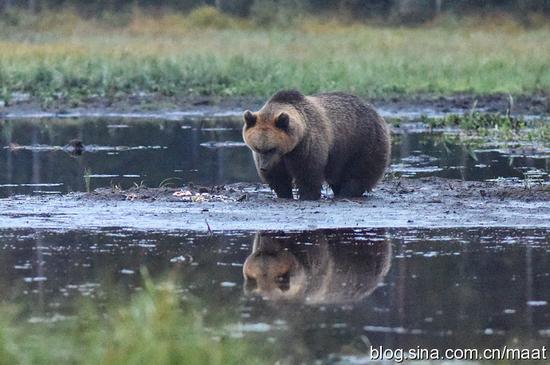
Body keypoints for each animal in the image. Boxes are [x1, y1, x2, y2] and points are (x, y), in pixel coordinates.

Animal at [243, 90, 392, 200]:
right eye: (257, 148)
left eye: (272, 148)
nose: (263, 167)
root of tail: (375, 111)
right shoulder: (277, 158)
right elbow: (278, 177)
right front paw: (284, 194)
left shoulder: (306, 144)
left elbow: (308, 172)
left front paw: (307, 195)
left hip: (362, 141)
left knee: (360, 171)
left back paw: (346, 192)